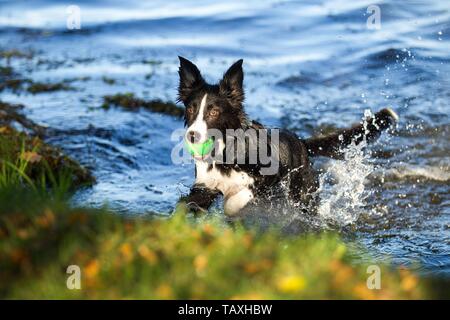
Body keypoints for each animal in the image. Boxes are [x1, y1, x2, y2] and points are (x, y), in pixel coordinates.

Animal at [178, 57, 400, 216]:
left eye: (214, 112)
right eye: (191, 109)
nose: (192, 136)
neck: (223, 152)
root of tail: (301, 142)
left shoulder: (265, 180)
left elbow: (236, 199)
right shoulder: (205, 185)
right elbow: (190, 203)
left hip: (303, 193)